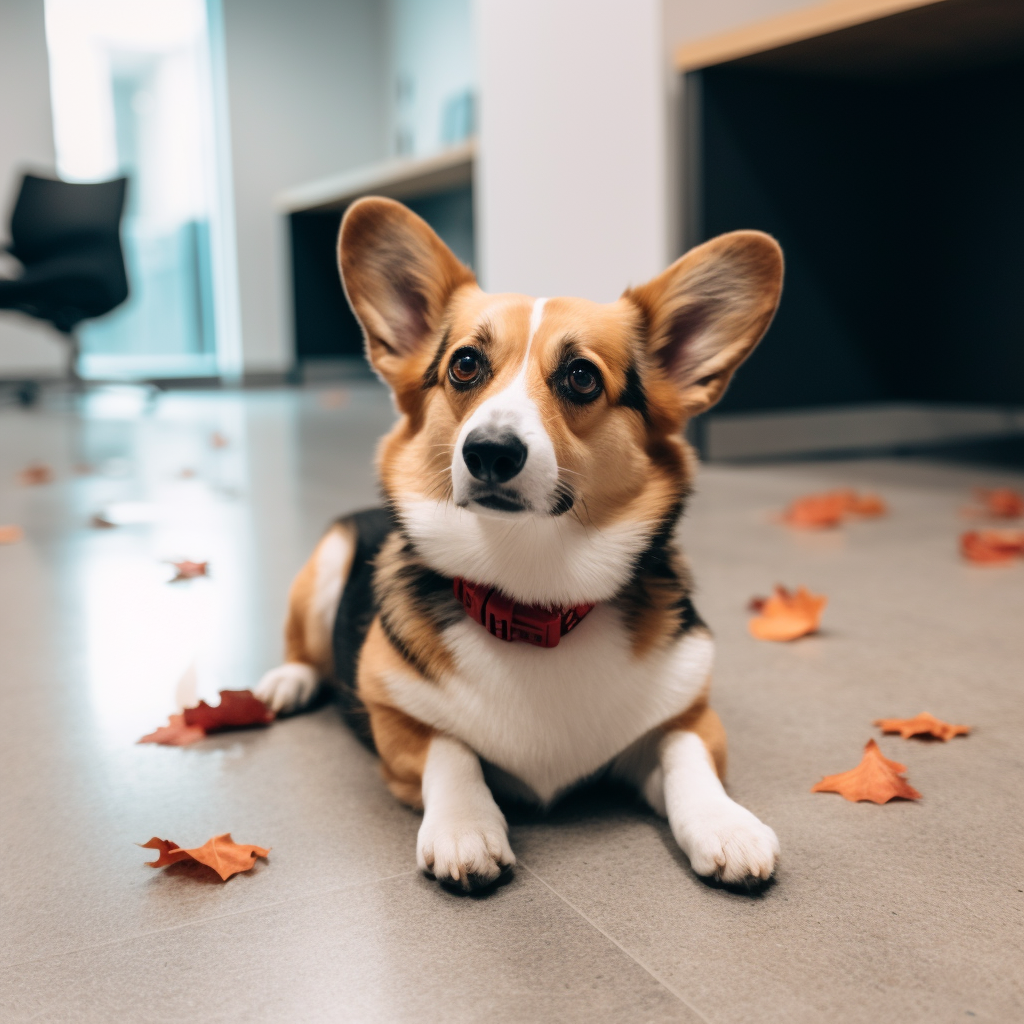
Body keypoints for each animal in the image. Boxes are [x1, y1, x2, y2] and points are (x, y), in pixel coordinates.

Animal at [256, 195, 782, 892]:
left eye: (582, 377)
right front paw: (465, 829)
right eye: (465, 364)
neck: (533, 591)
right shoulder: (395, 721)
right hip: (328, 563)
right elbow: (451, 751)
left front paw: (727, 827)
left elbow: (687, 756)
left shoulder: (687, 715)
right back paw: (285, 683)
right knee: (302, 649)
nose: (489, 452)